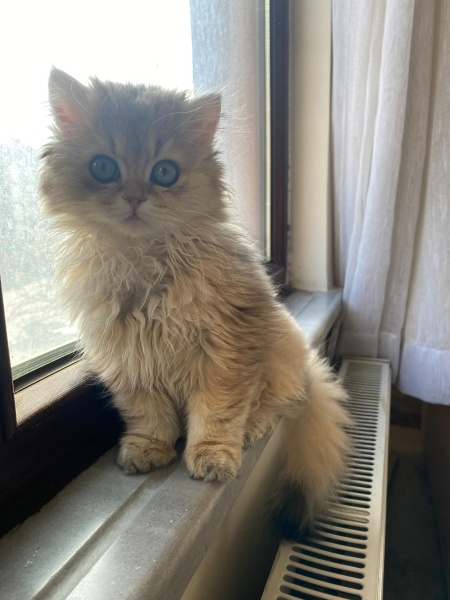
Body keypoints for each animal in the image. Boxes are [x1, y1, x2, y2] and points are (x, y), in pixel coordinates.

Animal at [39, 67, 352, 540]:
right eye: (103, 167)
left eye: (164, 172)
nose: (135, 197)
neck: (146, 262)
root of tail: (308, 366)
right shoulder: (127, 357)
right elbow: (147, 414)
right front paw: (148, 449)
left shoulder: (228, 351)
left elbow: (217, 414)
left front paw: (212, 456)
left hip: (279, 353)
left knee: (275, 402)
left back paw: (252, 427)